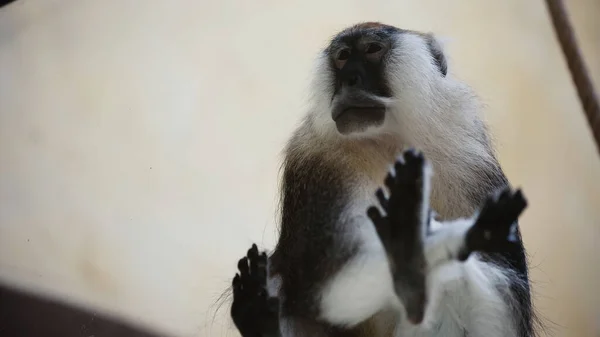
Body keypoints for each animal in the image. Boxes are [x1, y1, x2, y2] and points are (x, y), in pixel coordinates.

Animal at [229, 21, 536, 336]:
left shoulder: (472, 159)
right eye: (342, 56)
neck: (387, 142)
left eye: (372, 49)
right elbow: (324, 289)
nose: (350, 79)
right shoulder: (317, 161)